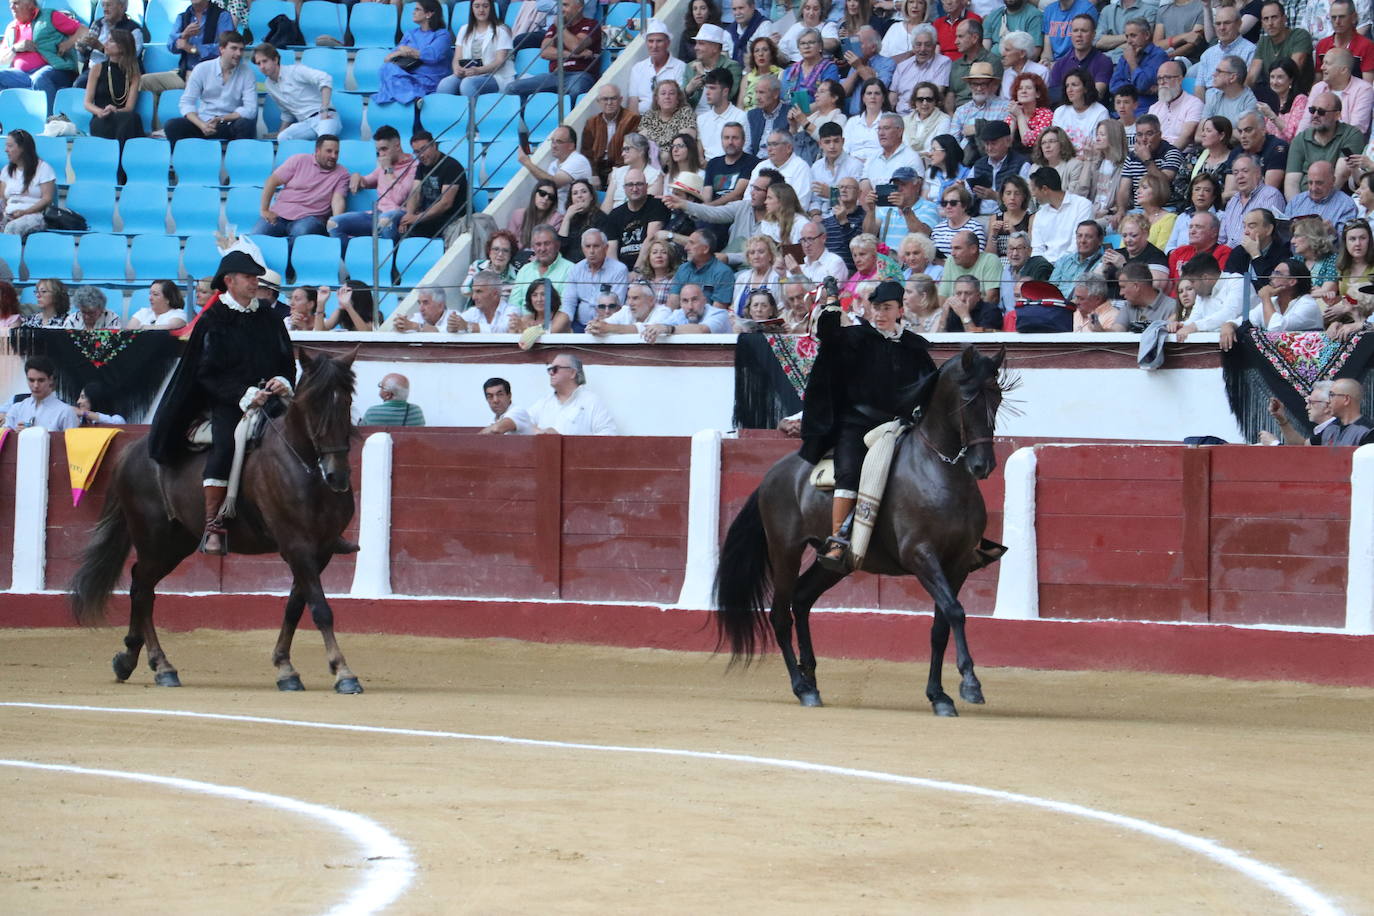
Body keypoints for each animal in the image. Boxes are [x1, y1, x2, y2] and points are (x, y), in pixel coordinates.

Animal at [71, 351, 362, 694]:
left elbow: (295, 606)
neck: (304, 469)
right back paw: (161, 665)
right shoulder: (296, 546)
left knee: (142, 586)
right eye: (313, 404)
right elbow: (320, 609)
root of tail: (132, 451)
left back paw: (130, 659)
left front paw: (285, 668)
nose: (337, 475)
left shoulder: (322, 549)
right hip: (152, 539)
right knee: (142, 589)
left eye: (346, 401)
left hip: (175, 544)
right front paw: (343, 671)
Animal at [714, 347, 1016, 719]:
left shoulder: (957, 564)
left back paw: (810, 677)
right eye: (968, 398)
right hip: (784, 550)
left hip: (835, 563)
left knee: (802, 598)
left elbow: (942, 624)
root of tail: (774, 473)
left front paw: (939, 695)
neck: (939, 470)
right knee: (780, 614)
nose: (982, 465)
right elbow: (956, 612)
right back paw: (802, 687)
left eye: (998, 397)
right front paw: (970, 684)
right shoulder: (921, 555)